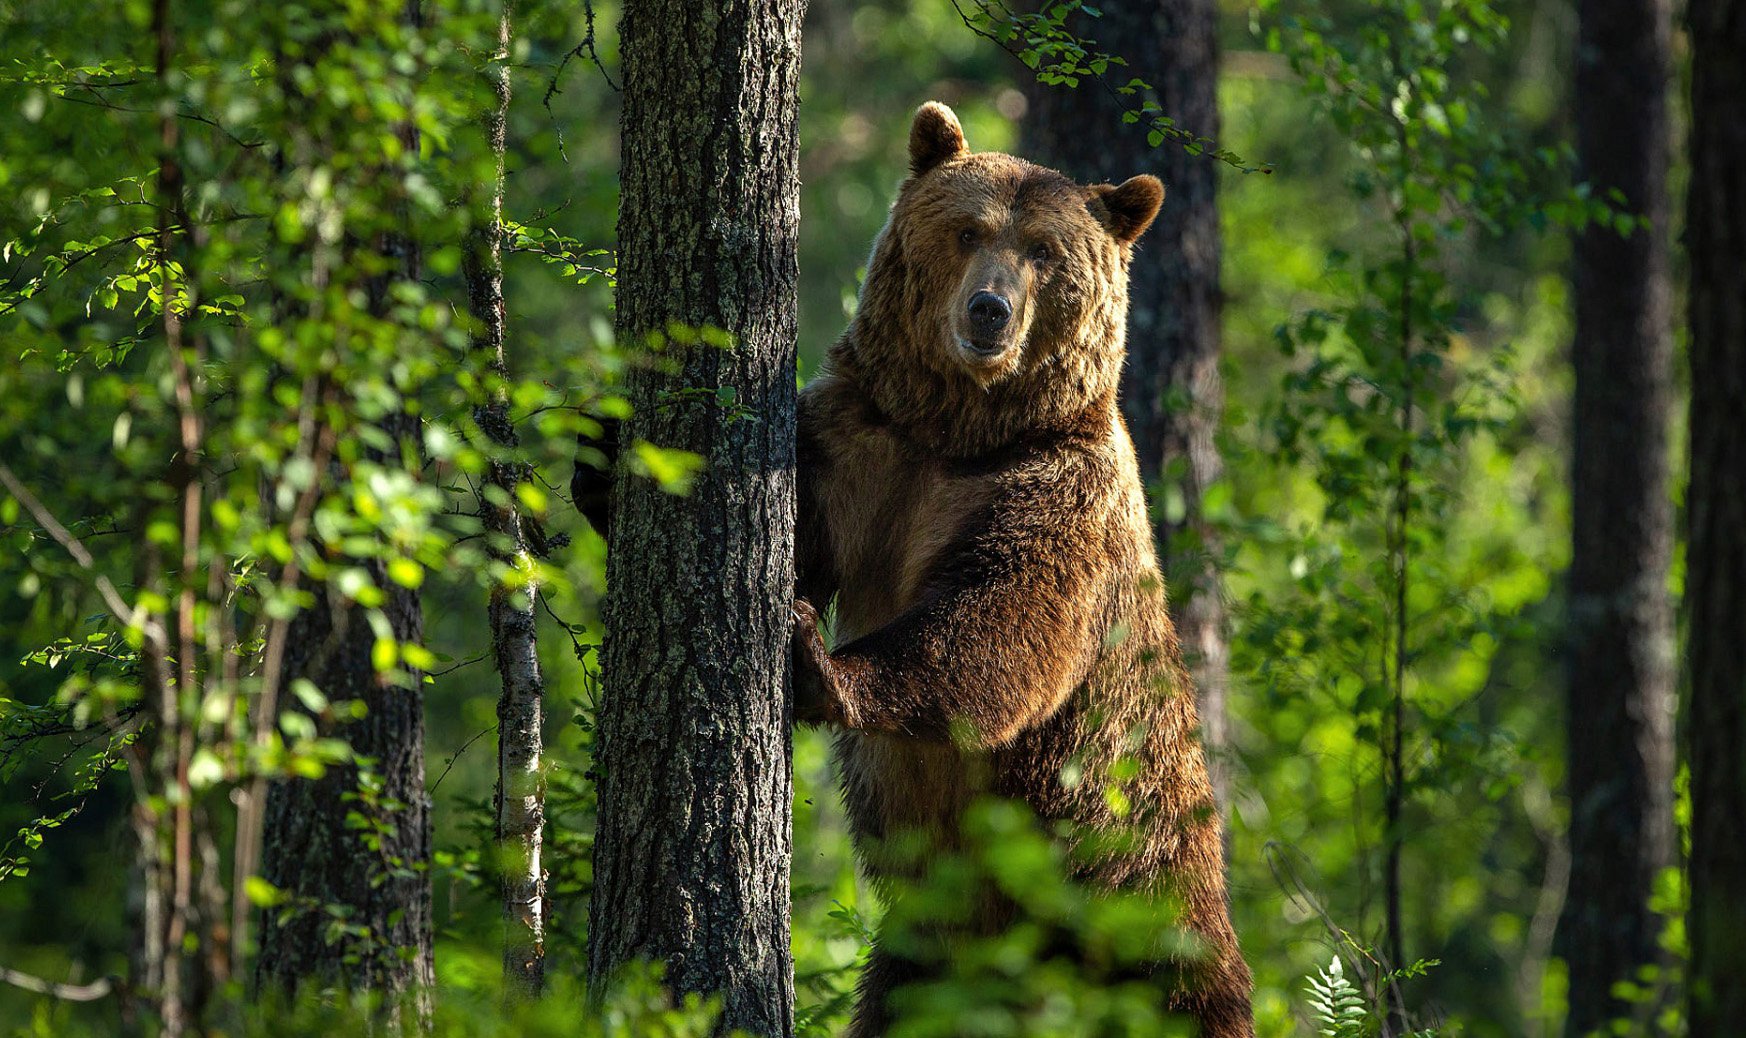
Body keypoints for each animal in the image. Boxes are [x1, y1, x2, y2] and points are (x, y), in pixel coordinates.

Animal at [792, 99, 1257, 1038]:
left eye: (1044, 251)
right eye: (968, 229)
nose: (989, 310)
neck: (962, 431)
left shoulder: (1059, 493)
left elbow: (1001, 624)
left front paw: (822, 665)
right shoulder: (868, 443)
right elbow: (804, 519)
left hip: (1139, 897)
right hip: (931, 954)